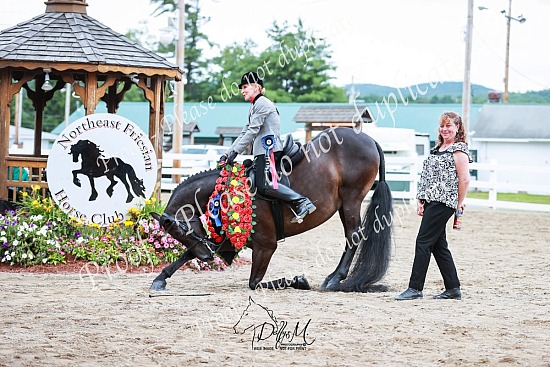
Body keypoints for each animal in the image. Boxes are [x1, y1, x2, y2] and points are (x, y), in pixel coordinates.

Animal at [149, 128, 394, 294]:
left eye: (179, 230)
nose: (207, 257)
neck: (226, 191)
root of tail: (367, 138)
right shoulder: (224, 241)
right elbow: (187, 254)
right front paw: (161, 278)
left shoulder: (265, 246)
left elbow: (254, 283)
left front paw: (299, 281)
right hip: (344, 205)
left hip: (351, 200)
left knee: (353, 236)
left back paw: (335, 279)